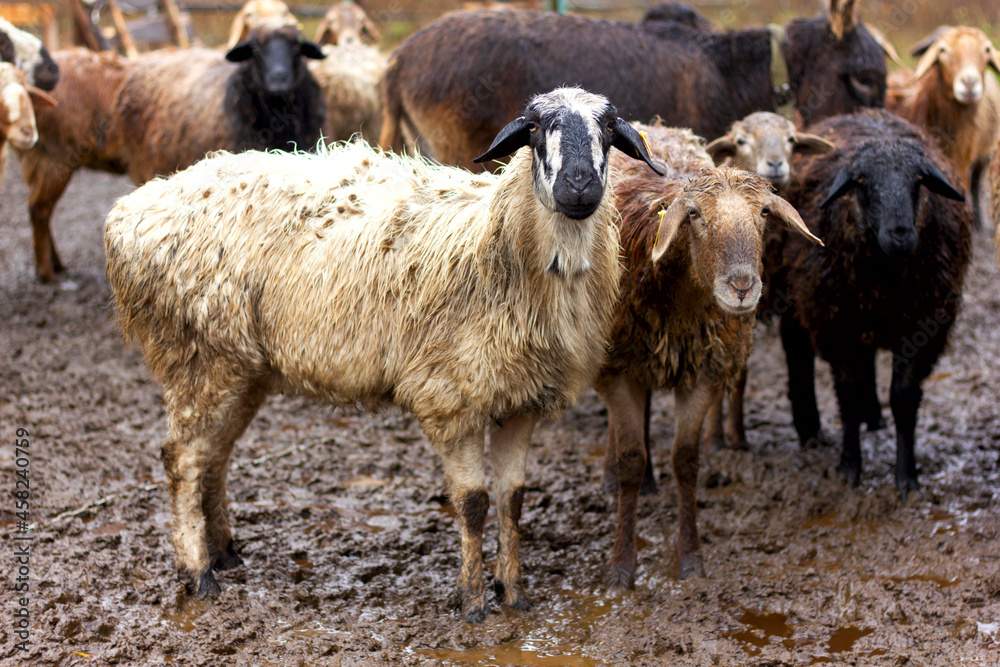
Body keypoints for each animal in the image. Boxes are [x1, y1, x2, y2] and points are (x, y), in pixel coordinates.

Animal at [19, 19, 326, 284]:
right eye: (256, 49)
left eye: (297, 48)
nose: (279, 79)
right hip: (53, 157)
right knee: (39, 210)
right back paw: (47, 273)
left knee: (40, 209)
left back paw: (56, 264)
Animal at [592, 122, 820, 588]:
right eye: (694, 215)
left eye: (764, 213)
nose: (742, 287)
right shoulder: (619, 371)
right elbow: (629, 460)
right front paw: (622, 565)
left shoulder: (703, 373)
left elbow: (686, 462)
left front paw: (691, 558)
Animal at [776, 109, 972, 496]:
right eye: (863, 181)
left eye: (919, 180)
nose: (901, 234)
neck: (886, 276)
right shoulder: (835, 325)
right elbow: (848, 395)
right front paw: (849, 468)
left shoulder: (922, 325)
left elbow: (903, 397)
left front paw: (907, 477)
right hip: (796, 298)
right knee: (797, 352)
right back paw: (809, 430)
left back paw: (874, 417)